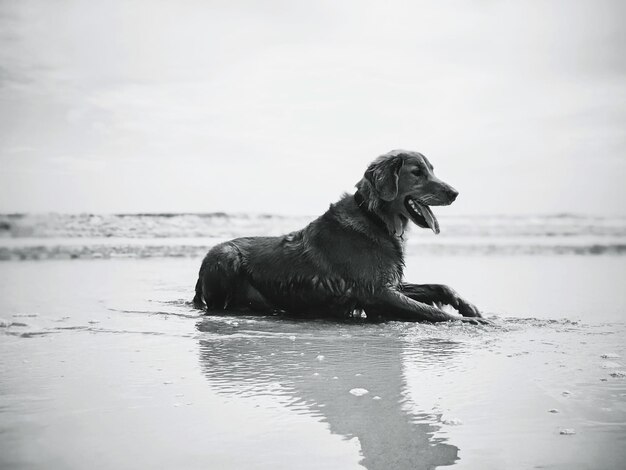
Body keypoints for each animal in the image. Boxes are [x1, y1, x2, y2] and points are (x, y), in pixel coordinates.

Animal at [193, 151, 486, 324]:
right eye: (417, 172)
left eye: (432, 170)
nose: (455, 193)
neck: (375, 219)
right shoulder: (376, 293)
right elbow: (429, 310)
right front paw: (468, 322)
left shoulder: (390, 282)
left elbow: (439, 287)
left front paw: (467, 307)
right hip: (224, 255)